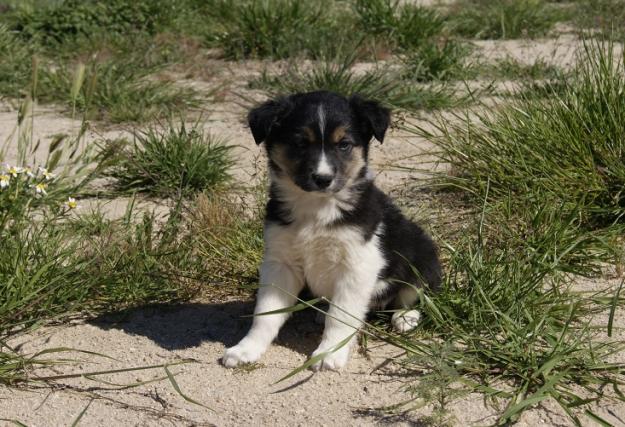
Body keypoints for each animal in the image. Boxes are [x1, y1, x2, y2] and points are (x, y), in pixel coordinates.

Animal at [222, 92, 442, 372]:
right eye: (300, 143)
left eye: (344, 144)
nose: (323, 178)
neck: (317, 207)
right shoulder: (280, 262)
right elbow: (265, 313)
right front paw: (246, 349)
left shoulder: (358, 265)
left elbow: (340, 316)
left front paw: (329, 352)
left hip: (423, 258)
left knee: (413, 295)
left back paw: (405, 317)